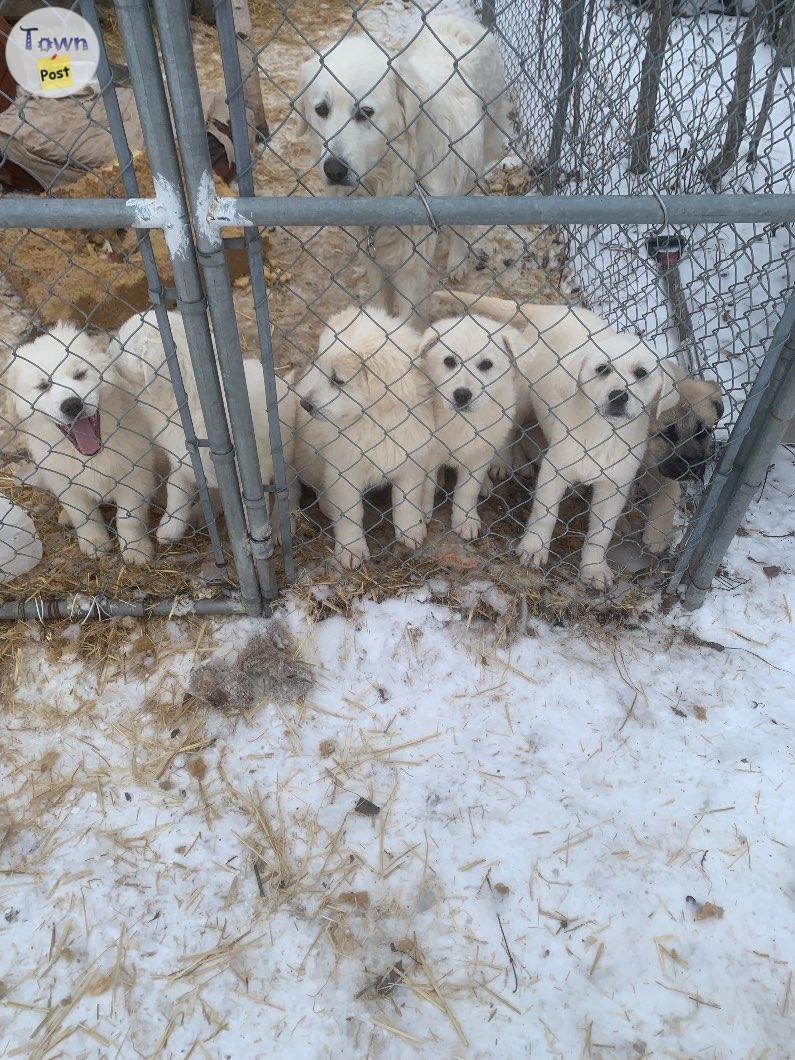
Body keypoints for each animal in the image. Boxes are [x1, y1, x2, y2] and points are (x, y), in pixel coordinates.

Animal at [5, 324, 155, 563]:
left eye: (80, 374)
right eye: (43, 386)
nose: (72, 405)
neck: (91, 456)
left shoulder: (135, 475)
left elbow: (129, 518)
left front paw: (136, 549)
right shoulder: (65, 483)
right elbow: (83, 516)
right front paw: (94, 542)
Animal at [110, 309, 301, 542]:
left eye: (122, 341)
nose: (107, 346)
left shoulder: (254, 475)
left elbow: (253, 510)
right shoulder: (183, 462)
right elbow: (176, 492)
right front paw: (169, 529)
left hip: (285, 456)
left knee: (291, 487)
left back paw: (281, 524)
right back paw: (200, 512)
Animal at [296, 14, 510, 317]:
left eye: (365, 113)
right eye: (321, 110)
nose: (334, 170)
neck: (386, 184)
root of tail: (454, 17)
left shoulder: (412, 268)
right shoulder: (372, 260)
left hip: (478, 159)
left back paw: (457, 261)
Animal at [296, 303, 438, 568]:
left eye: (338, 380)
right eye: (319, 369)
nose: (304, 404)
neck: (375, 422)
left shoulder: (410, 462)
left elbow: (406, 502)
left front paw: (410, 531)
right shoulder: (343, 472)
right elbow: (350, 514)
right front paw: (352, 550)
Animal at [419, 309, 525, 534]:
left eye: (486, 365)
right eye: (450, 361)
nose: (461, 395)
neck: (464, 420)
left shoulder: (479, 454)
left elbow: (467, 490)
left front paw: (465, 520)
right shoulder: (429, 454)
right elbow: (426, 486)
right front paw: (422, 513)